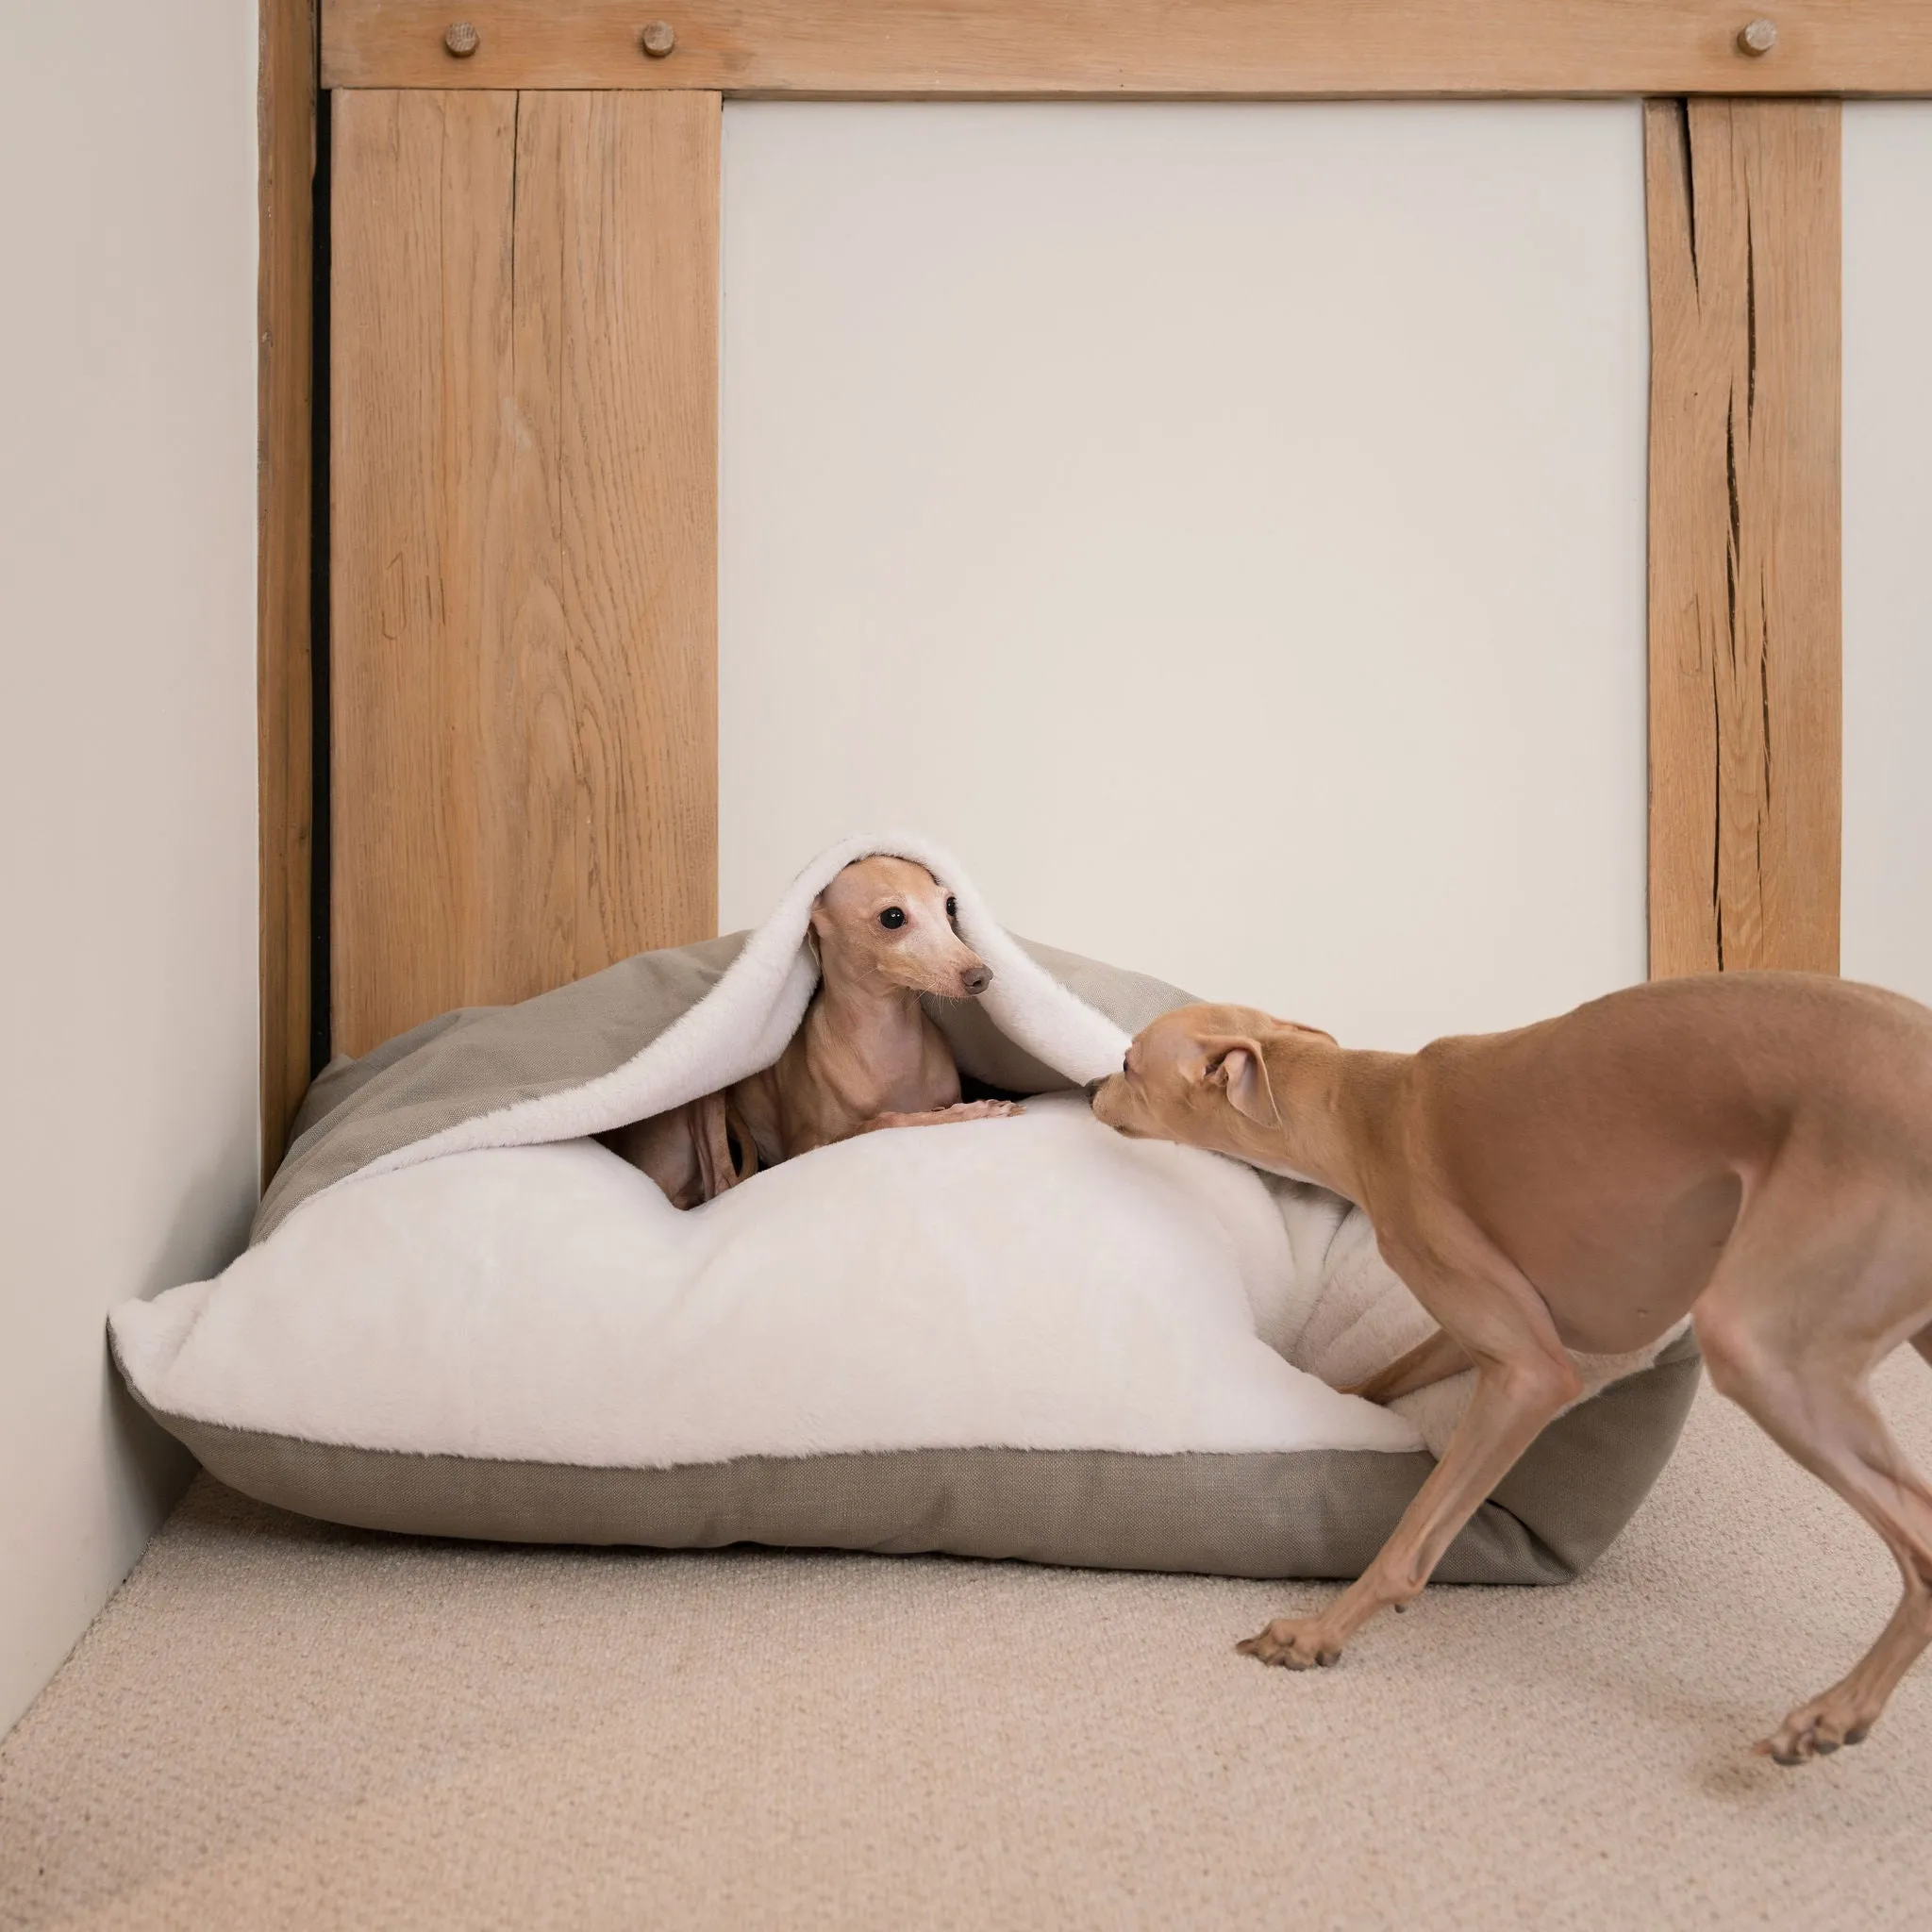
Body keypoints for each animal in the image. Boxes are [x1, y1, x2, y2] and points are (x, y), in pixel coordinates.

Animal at [607, 854, 1027, 1197]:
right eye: (893, 917)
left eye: (950, 905)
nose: (981, 976)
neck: (884, 1037)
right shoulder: (804, 1148)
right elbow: (882, 1121)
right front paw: (974, 1112)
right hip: (706, 1094)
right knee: (722, 1183)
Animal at [1097, 981, 1932, 1769]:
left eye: (1131, 1064)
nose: (1092, 1084)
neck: (1366, 1108)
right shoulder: (1474, 1327)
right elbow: (1381, 1377)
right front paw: (1333, 1400)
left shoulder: (1530, 1373)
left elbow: (1411, 1540)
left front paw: (1314, 1634)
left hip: (1763, 1350)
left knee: (1921, 1543)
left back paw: (1831, 1716)